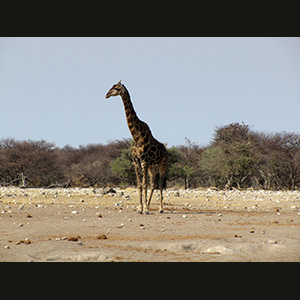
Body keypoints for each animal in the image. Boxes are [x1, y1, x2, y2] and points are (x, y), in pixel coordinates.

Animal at [105, 81, 168, 214]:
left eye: (116, 88)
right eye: (111, 86)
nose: (106, 95)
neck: (136, 137)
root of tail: (166, 150)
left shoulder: (144, 161)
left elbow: (144, 185)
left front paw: (145, 209)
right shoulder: (136, 161)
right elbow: (139, 185)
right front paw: (140, 208)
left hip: (162, 165)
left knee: (160, 184)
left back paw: (160, 209)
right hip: (152, 167)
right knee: (153, 184)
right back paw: (148, 206)